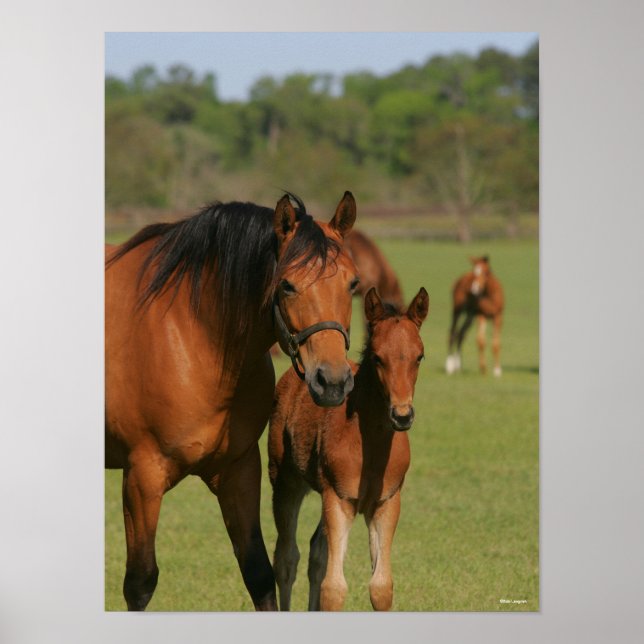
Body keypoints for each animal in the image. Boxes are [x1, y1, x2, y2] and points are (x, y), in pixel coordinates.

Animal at [105, 191, 360, 611]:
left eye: (353, 283)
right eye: (286, 285)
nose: (333, 381)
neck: (193, 332)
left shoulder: (238, 469)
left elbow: (258, 572)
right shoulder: (143, 476)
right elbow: (140, 582)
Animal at [268, 286, 429, 611]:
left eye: (419, 356)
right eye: (378, 358)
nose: (402, 415)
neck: (370, 448)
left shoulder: (386, 502)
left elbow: (381, 587)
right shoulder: (339, 499)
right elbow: (333, 588)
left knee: (316, 552)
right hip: (285, 483)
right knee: (286, 558)